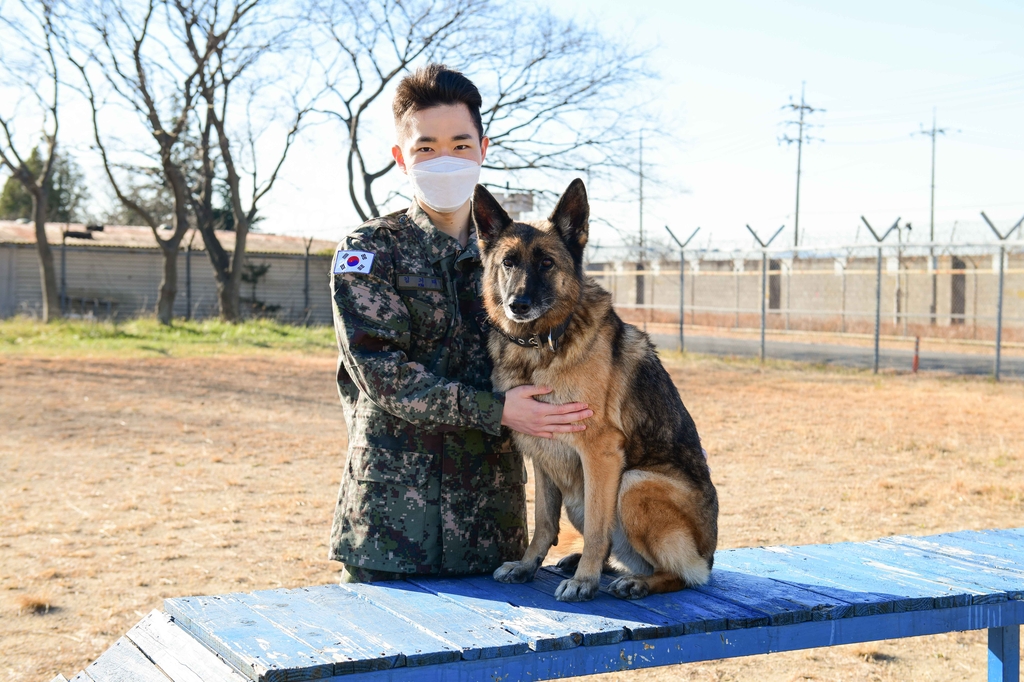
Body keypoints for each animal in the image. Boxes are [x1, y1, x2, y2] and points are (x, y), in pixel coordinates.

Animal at [473, 179, 720, 602]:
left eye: (546, 263)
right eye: (508, 262)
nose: (517, 304)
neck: (540, 345)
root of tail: (711, 554)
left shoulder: (599, 454)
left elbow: (595, 529)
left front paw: (584, 580)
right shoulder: (542, 454)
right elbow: (543, 521)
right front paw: (527, 565)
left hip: (633, 484)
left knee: (682, 574)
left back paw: (634, 581)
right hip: (579, 493)